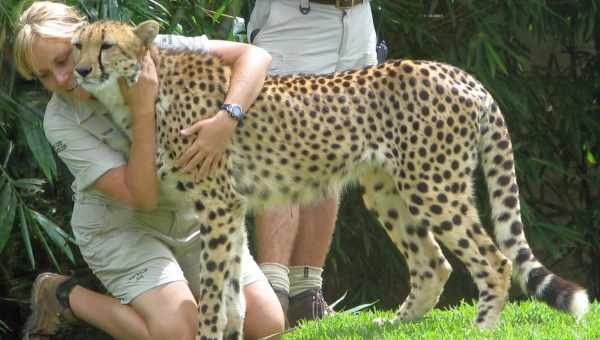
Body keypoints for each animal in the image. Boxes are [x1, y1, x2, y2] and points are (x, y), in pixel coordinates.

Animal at [69, 19, 584, 338]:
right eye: (78, 44)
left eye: (107, 45)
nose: (80, 69)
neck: (143, 90)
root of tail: (458, 71)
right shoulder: (231, 208)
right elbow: (234, 289)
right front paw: (232, 331)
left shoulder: (217, 204)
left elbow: (215, 291)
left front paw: (211, 332)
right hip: (387, 190)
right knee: (433, 262)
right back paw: (395, 325)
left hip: (434, 187)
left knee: (494, 260)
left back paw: (479, 330)